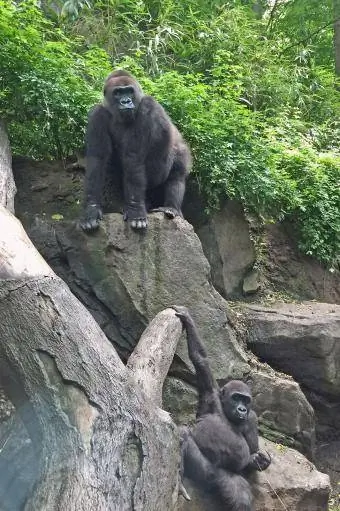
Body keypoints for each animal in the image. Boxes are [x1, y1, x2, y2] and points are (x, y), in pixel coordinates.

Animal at [79, 69, 191, 232]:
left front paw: (136, 212)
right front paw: (91, 211)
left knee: (176, 175)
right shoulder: (97, 113)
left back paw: (171, 207)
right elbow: (97, 160)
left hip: (181, 150)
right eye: (118, 92)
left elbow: (133, 158)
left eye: (129, 91)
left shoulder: (147, 106)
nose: (126, 101)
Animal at [173, 306, 270, 510]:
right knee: (184, 434)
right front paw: (188, 319)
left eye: (246, 401)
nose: (242, 409)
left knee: (240, 495)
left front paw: (259, 461)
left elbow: (250, 454)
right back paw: (179, 479)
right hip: (202, 470)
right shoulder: (211, 391)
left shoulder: (252, 418)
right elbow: (201, 360)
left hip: (223, 477)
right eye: (236, 398)